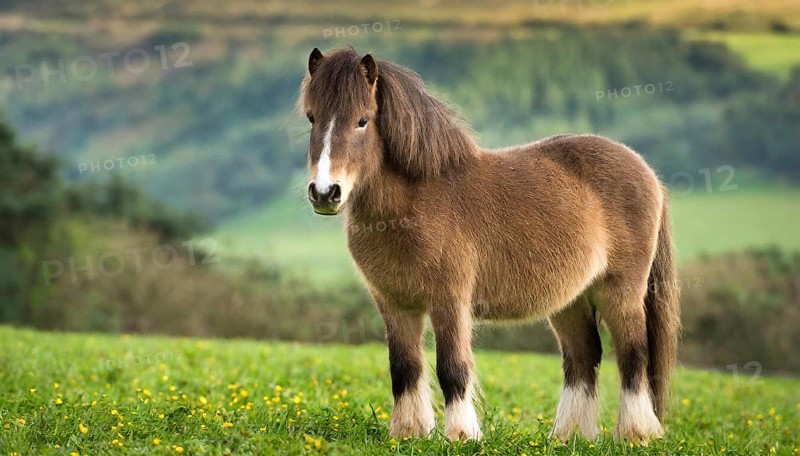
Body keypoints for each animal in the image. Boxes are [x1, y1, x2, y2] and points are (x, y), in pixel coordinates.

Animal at [297, 46, 681, 443]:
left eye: (362, 120)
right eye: (312, 117)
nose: (325, 192)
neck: (415, 201)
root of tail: (648, 172)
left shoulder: (449, 299)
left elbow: (452, 366)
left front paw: (461, 434)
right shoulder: (394, 303)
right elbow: (404, 367)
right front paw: (409, 433)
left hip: (622, 290)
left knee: (634, 355)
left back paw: (636, 432)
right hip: (571, 300)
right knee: (583, 356)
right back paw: (571, 435)